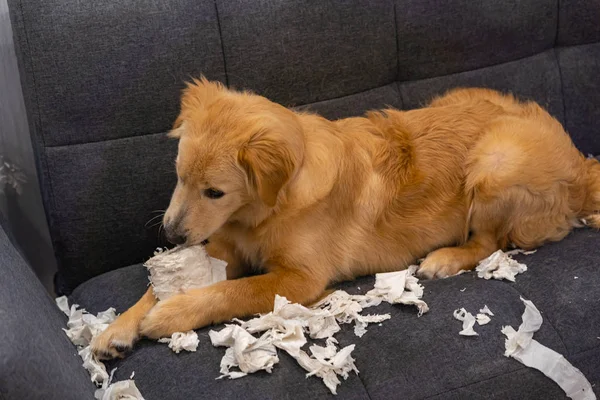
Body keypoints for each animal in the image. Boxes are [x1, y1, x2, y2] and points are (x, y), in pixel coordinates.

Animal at [90, 79, 600, 360]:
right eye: (179, 177)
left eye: (214, 192)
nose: (171, 235)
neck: (267, 207)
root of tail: (580, 163)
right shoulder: (224, 246)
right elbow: (155, 287)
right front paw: (118, 328)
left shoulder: (298, 279)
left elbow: (231, 292)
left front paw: (170, 314)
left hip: (496, 160)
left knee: (489, 242)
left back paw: (445, 258)